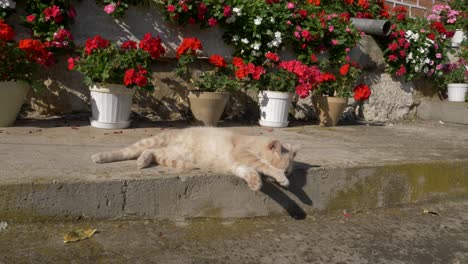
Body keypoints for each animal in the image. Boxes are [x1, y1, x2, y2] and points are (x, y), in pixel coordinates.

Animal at [90, 127, 298, 191]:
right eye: (287, 170)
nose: (287, 174)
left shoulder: (237, 164)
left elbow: (248, 171)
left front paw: (255, 183)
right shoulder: (243, 155)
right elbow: (262, 165)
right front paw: (279, 177)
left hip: (171, 152)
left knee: (152, 151)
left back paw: (144, 160)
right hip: (157, 140)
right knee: (129, 150)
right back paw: (100, 156)